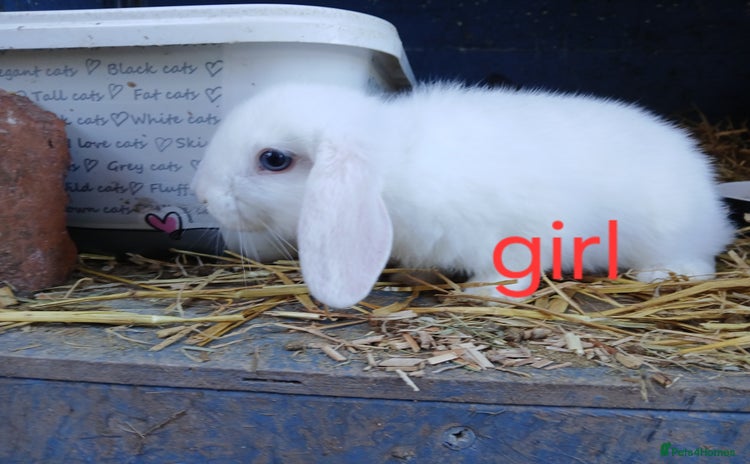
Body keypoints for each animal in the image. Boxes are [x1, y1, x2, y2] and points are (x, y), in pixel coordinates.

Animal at [191, 82, 735, 308]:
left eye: (274, 160)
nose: (203, 195)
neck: (395, 166)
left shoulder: (504, 236)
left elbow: (508, 271)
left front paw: (483, 294)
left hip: (669, 236)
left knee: (697, 264)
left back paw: (658, 274)